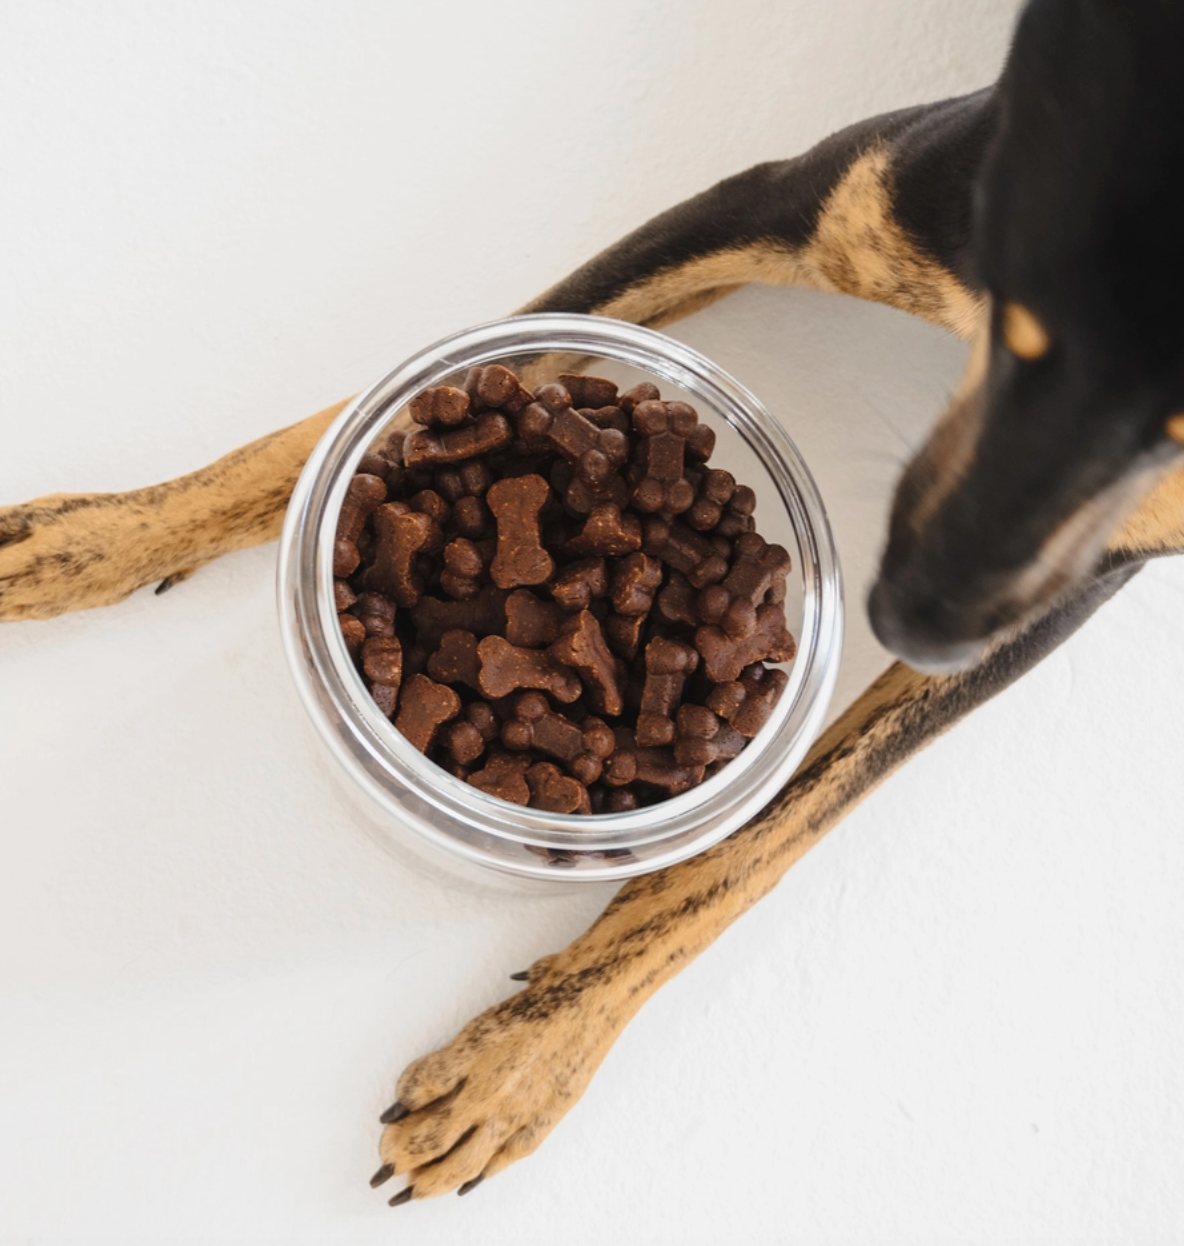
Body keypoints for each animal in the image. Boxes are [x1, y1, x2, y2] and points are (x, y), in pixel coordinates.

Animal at [2, 0, 1184, 1206]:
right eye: (1026, 323)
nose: (906, 620)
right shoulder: (777, 203)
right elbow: (363, 415)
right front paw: (105, 536)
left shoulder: (1093, 562)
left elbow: (757, 843)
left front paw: (515, 1067)